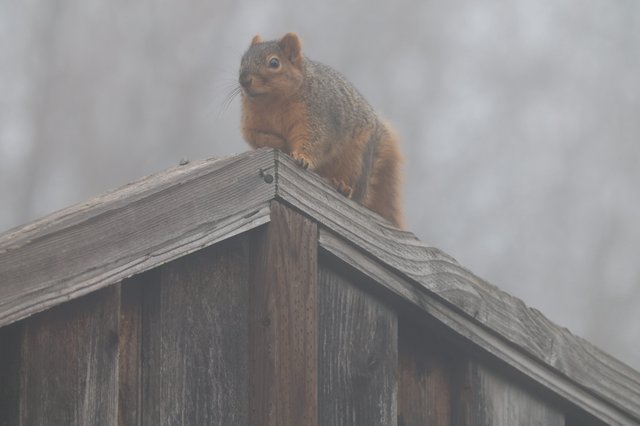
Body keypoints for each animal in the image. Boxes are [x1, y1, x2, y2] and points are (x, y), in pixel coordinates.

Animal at [239, 32, 405, 229]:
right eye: (242, 60)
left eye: (274, 63)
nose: (244, 80)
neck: (272, 102)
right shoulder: (251, 123)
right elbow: (255, 137)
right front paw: (277, 142)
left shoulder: (317, 117)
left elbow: (315, 140)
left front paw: (302, 158)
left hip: (356, 160)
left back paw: (343, 187)